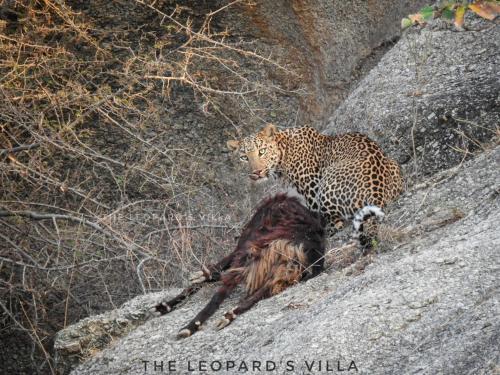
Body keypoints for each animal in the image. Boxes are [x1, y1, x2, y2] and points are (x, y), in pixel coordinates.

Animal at [226, 124, 402, 247]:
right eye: (243, 157)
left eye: (262, 151)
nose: (256, 172)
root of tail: (376, 193)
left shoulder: (312, 193)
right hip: (394, 164)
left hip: (327, 181)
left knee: (336, 224)